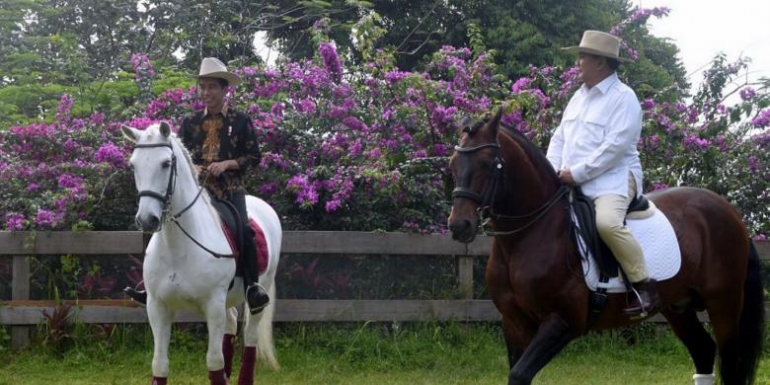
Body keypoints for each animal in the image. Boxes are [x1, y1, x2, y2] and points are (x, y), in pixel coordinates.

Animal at [123, 122, 282, 384]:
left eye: (165, 164)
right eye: (133, 164)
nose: (146, 219)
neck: (178, 249)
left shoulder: (213, 306)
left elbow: (214, 362)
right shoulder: (157, 308)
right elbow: (160, 364)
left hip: (260, 292)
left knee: (250, 336)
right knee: (231, 322)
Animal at [444, 109, 760, 384]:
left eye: (488, 163)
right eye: (453, 165)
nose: (459, 225)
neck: (529, 236)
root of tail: (730, 213)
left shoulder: (562, 321)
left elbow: (519, 374)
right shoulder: (514, 322)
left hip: (724, 303)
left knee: (729, 366)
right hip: (677, 305)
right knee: (703, 351)